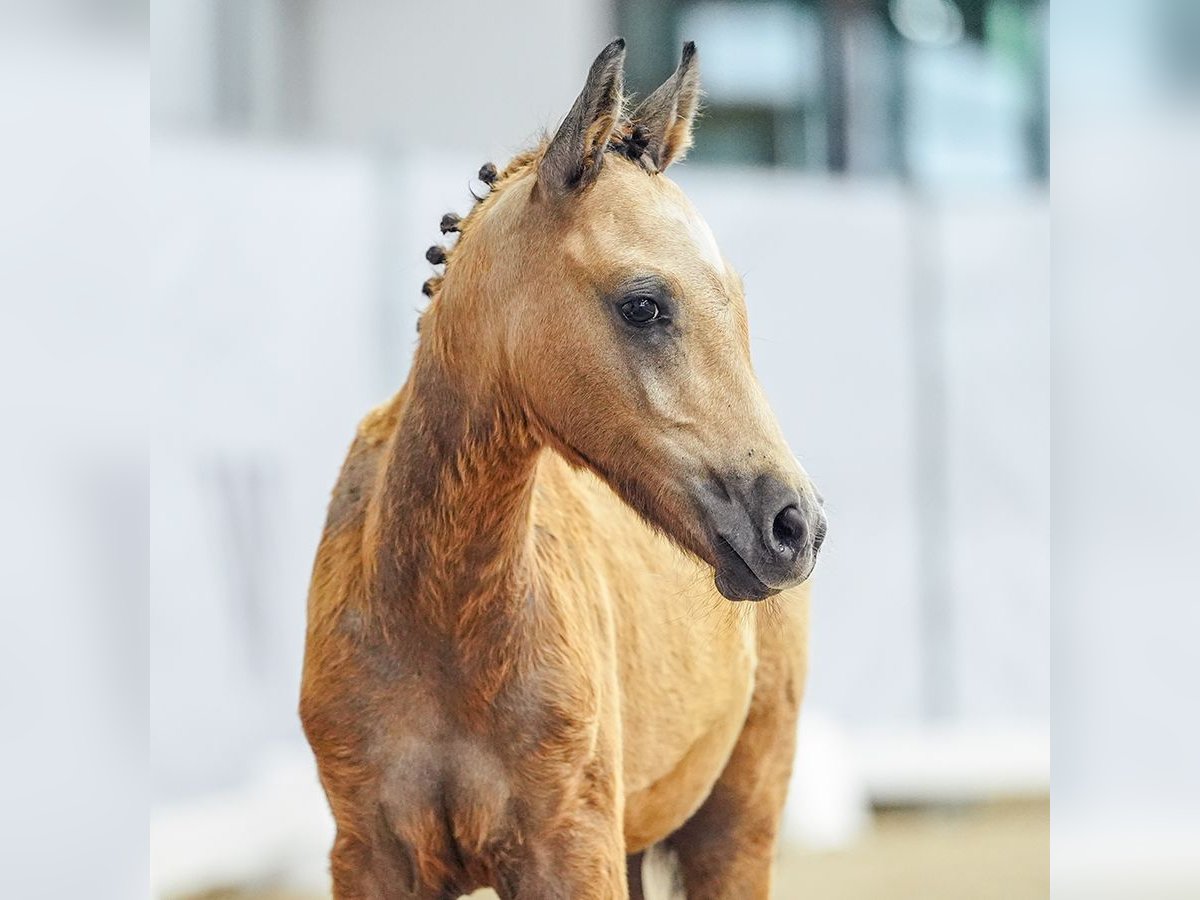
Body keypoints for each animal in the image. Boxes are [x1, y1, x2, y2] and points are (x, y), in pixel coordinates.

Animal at [300, 37, 825, 900]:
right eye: (643, 304)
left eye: (741, 307)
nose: (795, 526)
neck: (435, 623)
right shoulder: (370, 859)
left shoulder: (572, 850)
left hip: (737, 825)